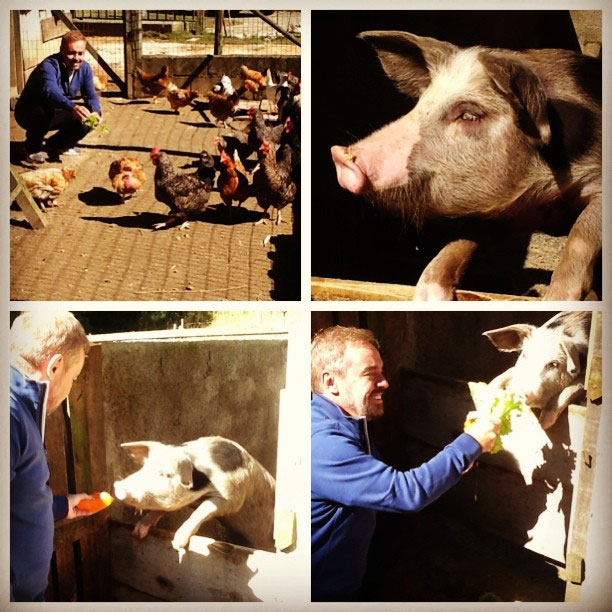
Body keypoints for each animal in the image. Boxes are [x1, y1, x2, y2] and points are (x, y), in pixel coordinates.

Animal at [113, 436, 276, 560]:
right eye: (144, 468)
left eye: (166, 474)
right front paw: (138, 532)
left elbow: (203, 510)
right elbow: (160, 509)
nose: (118, 486)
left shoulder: (232, 496)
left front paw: (177, 543)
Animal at [332, 32, 600, 300]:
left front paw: (556, 299)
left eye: (470, 115)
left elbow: (581, 236)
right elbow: (464, 236)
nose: (340, 155)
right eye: (421, 104)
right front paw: (426, 295)